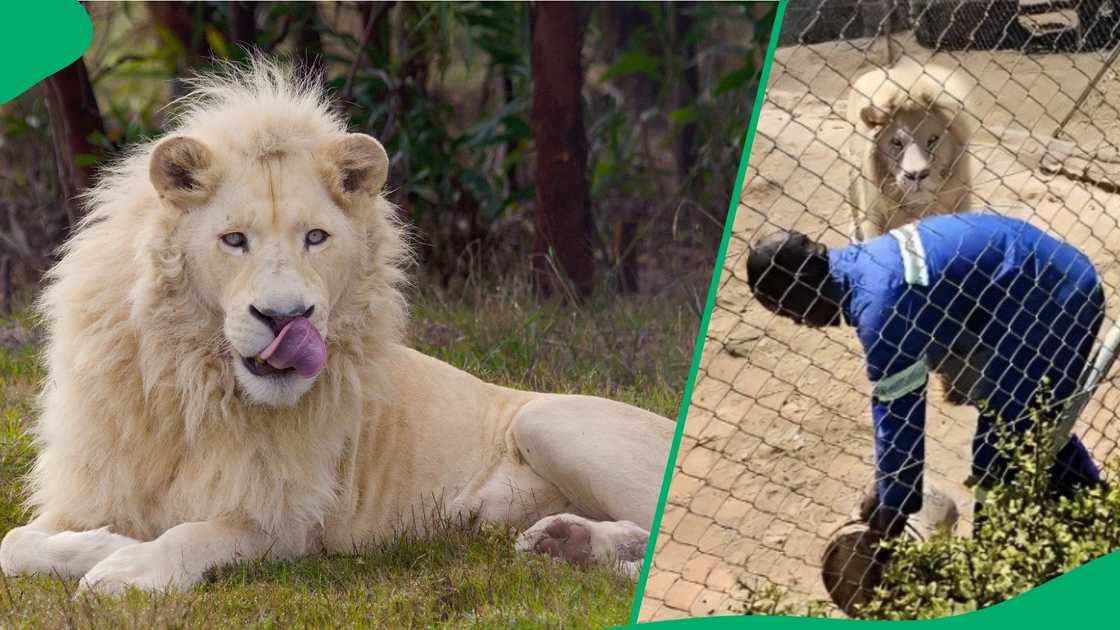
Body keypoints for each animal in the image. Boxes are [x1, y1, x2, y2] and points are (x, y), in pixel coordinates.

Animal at [0, 57, 672, 587]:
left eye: (316, 237)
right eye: (234, 240)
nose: (285, 317)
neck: (193, 382)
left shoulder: (286, 522)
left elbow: (197, 533)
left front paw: (129, 566)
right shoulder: (94, 483)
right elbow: (15, 545)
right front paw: (106, 544)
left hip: (545, 419)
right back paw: (565, 543)